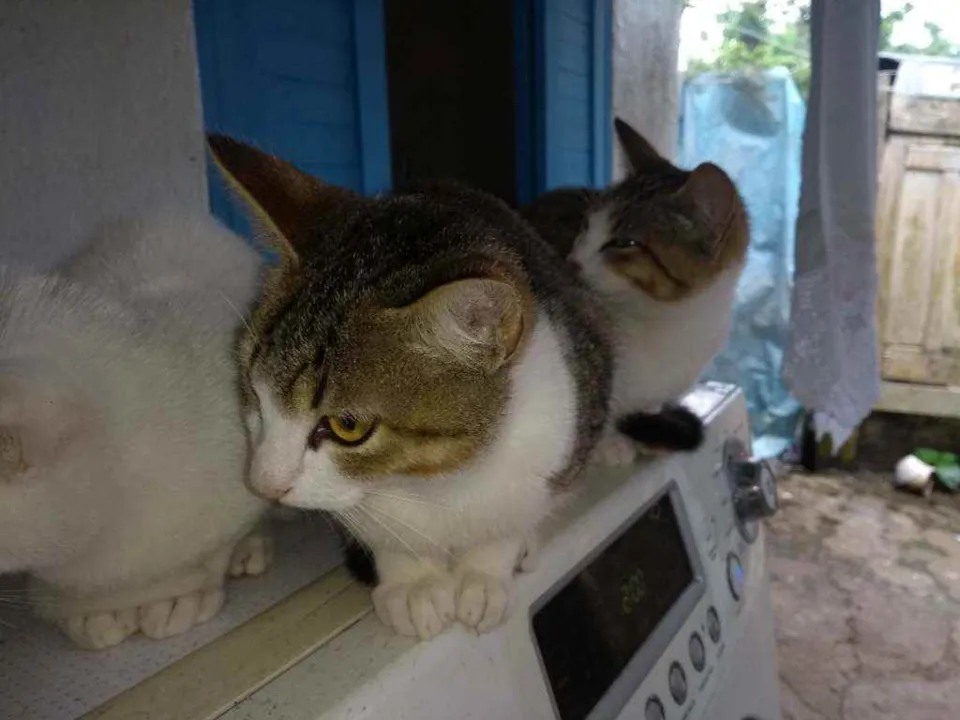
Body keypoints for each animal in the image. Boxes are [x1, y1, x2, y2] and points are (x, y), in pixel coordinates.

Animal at [208, 135, 612, 640]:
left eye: (347, 426)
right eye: (253, 389)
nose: (264, 484)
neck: (432, 480)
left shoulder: (564, 430)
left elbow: (508, 522)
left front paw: (484, 573)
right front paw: (413, 584)